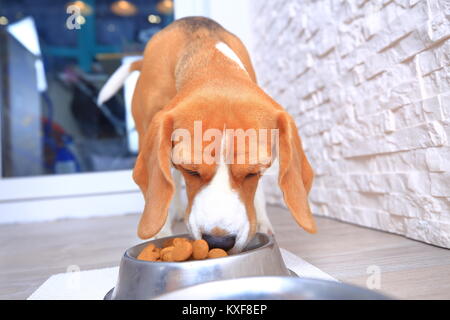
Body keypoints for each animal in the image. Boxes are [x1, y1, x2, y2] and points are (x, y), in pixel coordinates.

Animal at [97, 16, 316, 252]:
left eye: (253, 172)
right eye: (191, 170)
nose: (218, 241)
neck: (211, 61)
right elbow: (162, 181)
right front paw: (161, 230)